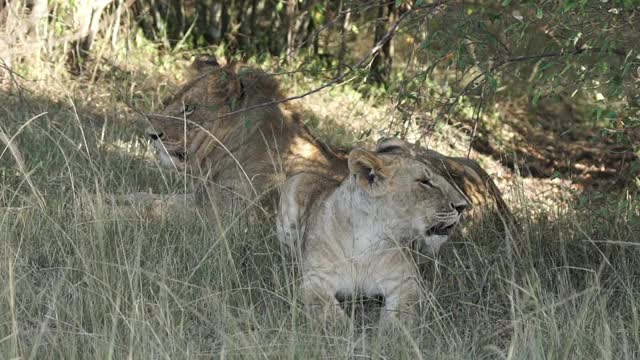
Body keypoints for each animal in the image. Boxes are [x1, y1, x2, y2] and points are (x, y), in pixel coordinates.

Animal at [278, 139, 468, 324]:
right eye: (424, 181)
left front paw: (389, 333)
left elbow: (402, 316)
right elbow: (329, 315)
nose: (463, 206)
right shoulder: (316, 279)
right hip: (297, 182)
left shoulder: (406, 283)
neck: (368, 241)